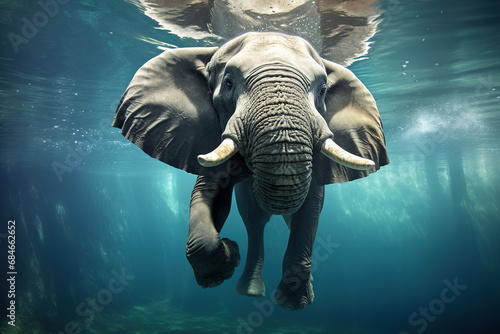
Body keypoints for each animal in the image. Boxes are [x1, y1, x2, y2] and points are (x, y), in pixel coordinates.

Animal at [114, 31, 390, 310]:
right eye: (228, 83)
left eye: (323, 90)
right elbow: (208, 195)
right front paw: (227, 257)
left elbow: (310, 208)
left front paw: (292, 304)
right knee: (254, 219)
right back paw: (250, 292)